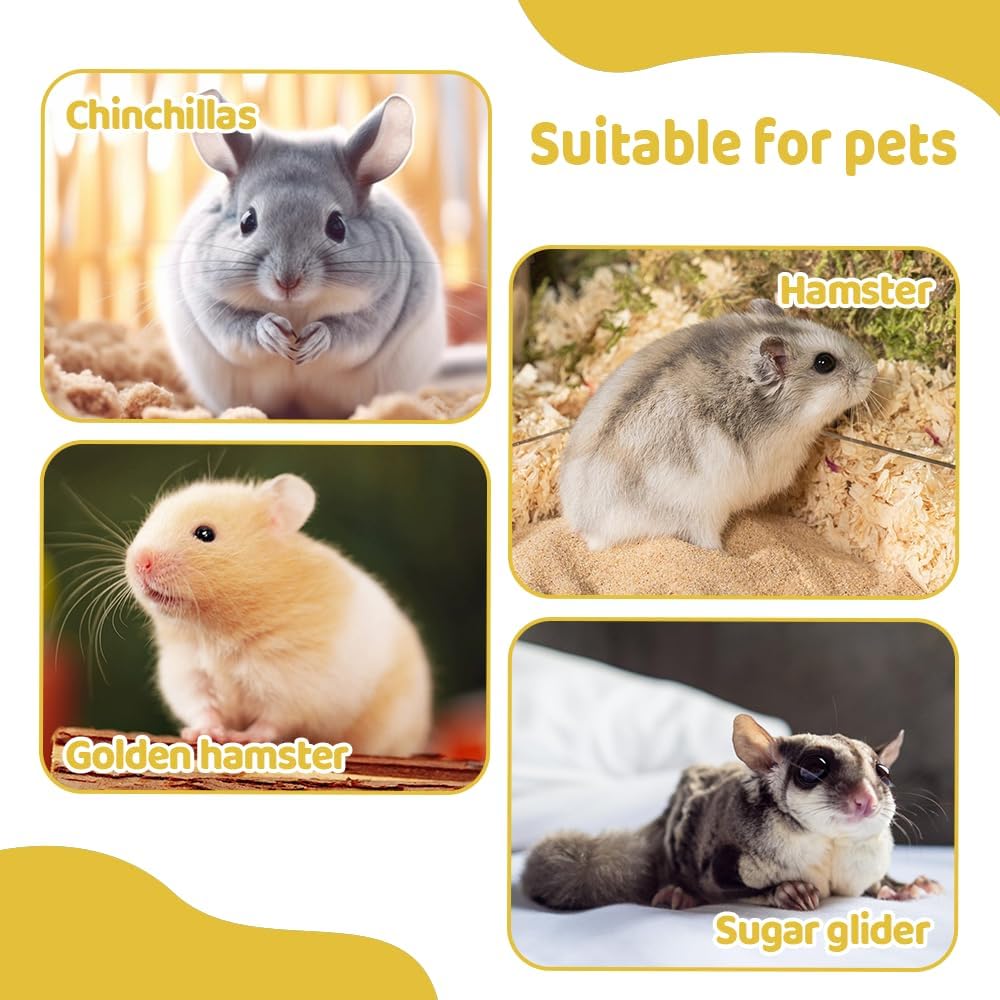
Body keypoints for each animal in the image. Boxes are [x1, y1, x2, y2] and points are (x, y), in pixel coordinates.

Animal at [123, 474, 431, 755]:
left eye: (205, 533)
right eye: (150, 519)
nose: (139, 562)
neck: (214, 630)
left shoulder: (292, 683)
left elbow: (271, 721)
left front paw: (241, 738)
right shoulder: (188, 672)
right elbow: (202, 708)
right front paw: (202, 734)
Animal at [159, 92, 446, 418]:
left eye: (337, 226)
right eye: (247, 221)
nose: (287, 282)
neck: (294, 307)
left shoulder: (382, 309)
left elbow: (350, 331)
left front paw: (313, 341)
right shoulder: (205, 301)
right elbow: (237, 325)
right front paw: (273, 333)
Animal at [521, 714, 943, 912]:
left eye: (883, 773)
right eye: (812, 770)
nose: (865, 800)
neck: (828, 842)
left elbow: (876, 882)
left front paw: (900, 887)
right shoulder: (727, 856)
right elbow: (725, 884)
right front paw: (789, 891)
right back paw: (677, 894)